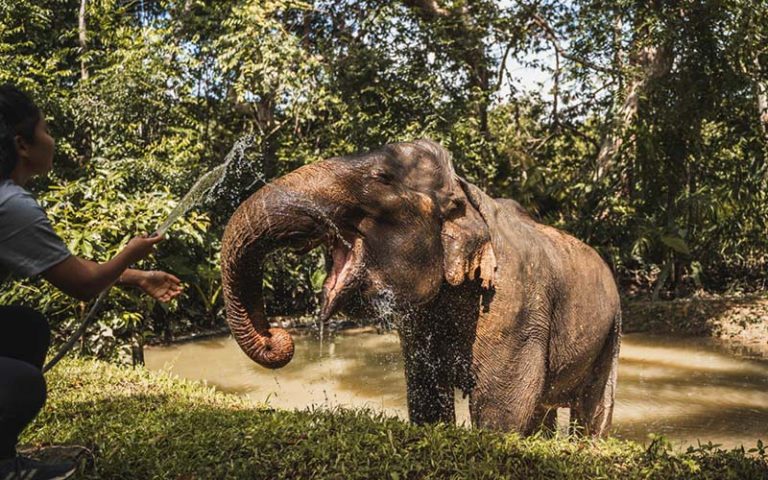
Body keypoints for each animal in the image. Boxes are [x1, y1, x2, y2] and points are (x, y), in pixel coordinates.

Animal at [219, 141, 620, 436]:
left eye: (381, 177)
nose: (277, 337)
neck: (466, 190)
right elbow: (426, 396)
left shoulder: (515, 305)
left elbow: (501, 410)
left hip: (611, 330)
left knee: (594, 407)